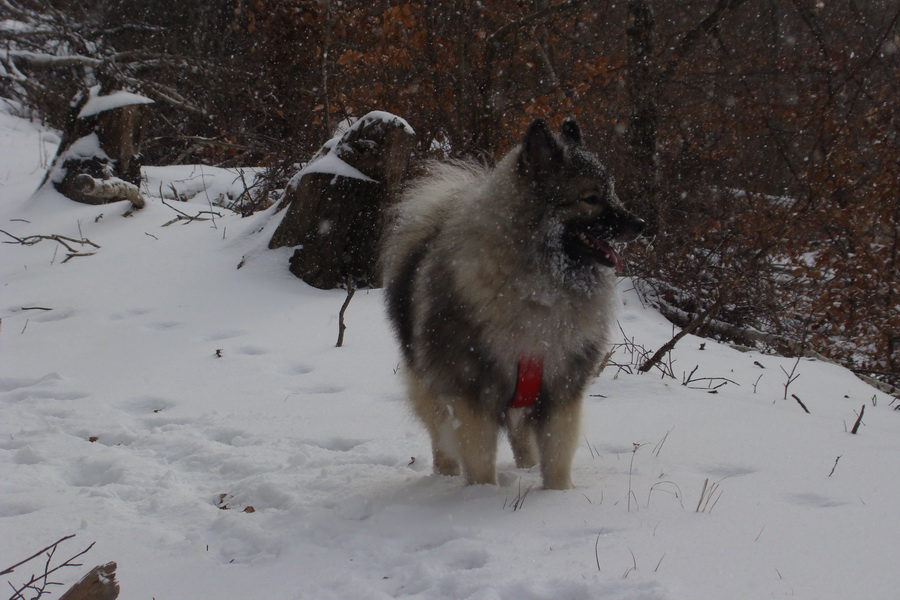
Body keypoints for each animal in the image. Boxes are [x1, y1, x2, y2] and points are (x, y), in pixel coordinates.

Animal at [384, 119, 644, 490]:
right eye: (591, 198)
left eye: (613, 192)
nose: (641, 225)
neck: (538, 286)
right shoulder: (471, 397)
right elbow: (478, 460)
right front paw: (480, 495)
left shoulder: (561, 392)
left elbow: (557, 456)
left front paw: (557, 495)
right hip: (431, 385)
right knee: (441, 439)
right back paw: (445, 477)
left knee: (522, 441)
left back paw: (526, 470)